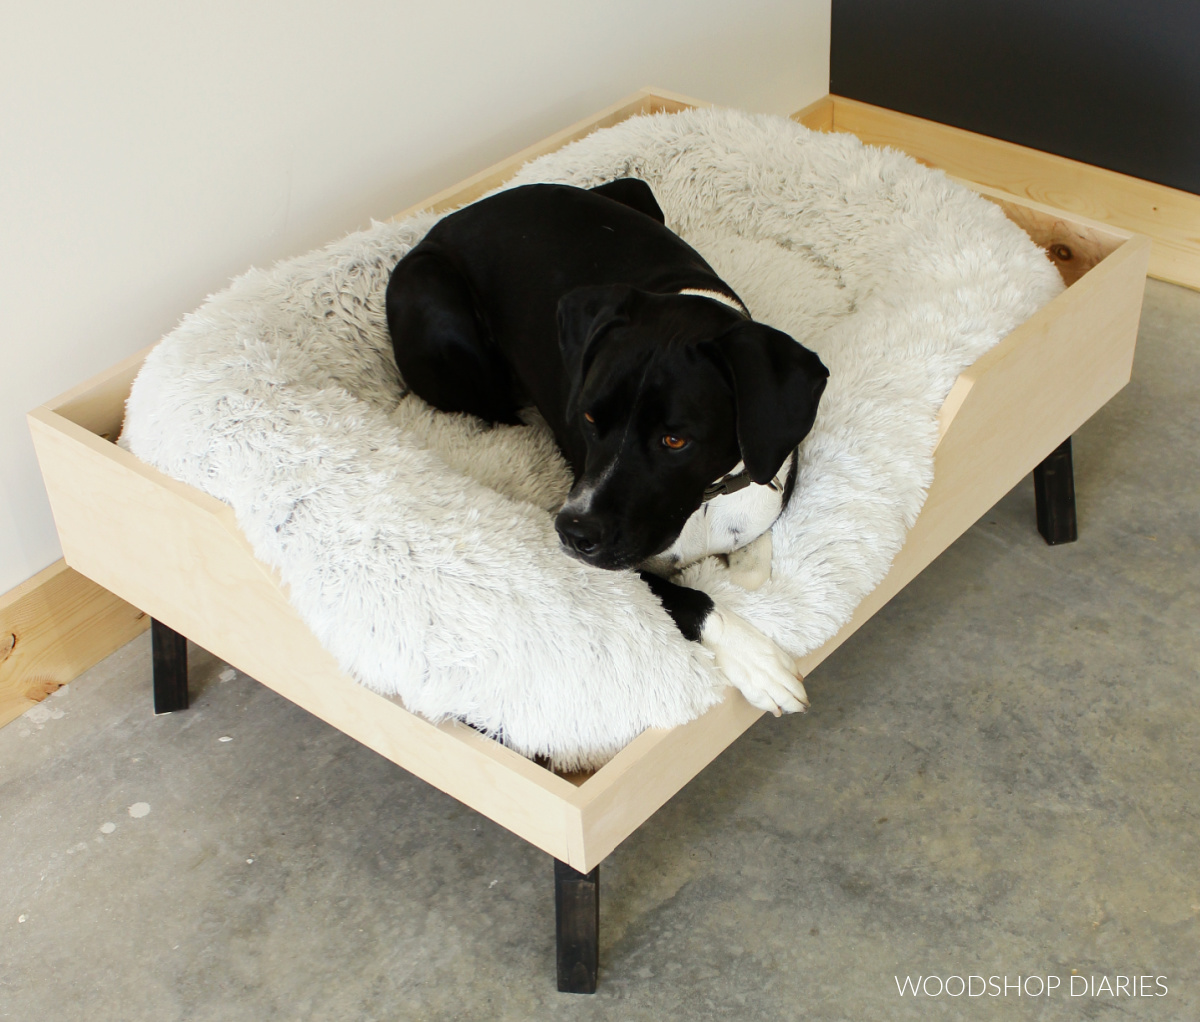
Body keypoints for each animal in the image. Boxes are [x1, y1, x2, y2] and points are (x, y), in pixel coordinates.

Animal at [388, 179, 830, 714]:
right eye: (588, 417)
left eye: (675, 440)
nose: (573, 532)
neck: (705, 501)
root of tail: (446, 221)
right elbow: (692, 600)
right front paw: (756, 659)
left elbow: (751, 558)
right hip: (442, 321)